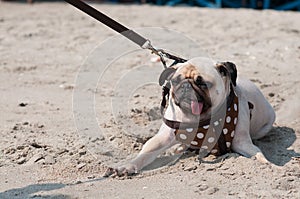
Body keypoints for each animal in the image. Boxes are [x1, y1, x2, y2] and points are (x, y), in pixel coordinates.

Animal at [106, 56, 276, 176]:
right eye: (175, 80)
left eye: (202, 83)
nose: (186, 86)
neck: (199, 119)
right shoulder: (163, 138)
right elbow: (145, 153)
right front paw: (127, 166)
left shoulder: (242, 143)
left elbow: (257, 154)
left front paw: (270, 165)